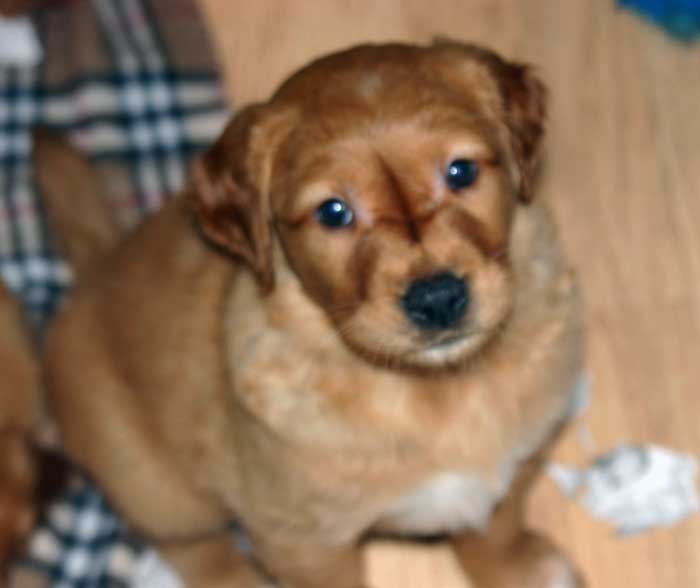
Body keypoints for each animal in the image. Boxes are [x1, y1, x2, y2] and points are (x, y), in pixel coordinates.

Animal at [41, 42, 584, 588]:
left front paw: (517, 568)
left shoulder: (517, 457)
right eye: (334, 212)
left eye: (461, 172)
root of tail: (98, 267)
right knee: (188, 545)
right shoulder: (301, 540)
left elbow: (496, 523)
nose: (436, 298)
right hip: (158, 488)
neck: (438, 387)